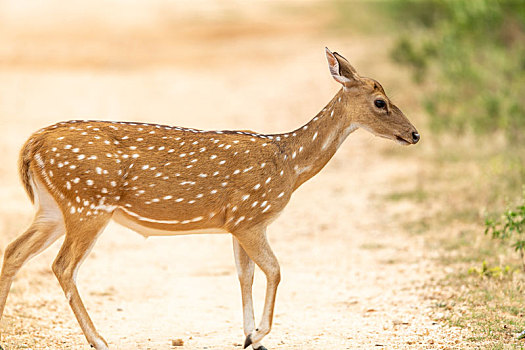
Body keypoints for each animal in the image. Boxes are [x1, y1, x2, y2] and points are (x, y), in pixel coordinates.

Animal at [0, 47, 418, 350]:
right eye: (380, 102)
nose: (414, 134)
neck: (289, 164)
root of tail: (32, 144)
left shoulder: (236, 223)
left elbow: (245, 275)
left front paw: (249, 337)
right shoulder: (251, 216)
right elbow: (274, 270)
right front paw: (260, 334)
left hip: (53, 208)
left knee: (14, 251)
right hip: (88, 202)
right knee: (62, 266)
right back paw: (99, 340)